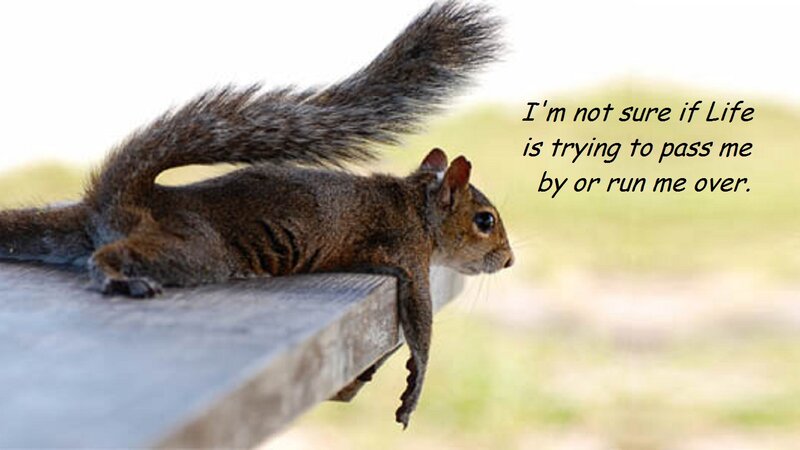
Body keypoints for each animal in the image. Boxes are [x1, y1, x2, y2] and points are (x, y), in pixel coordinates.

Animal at [0, 1, 512, 428]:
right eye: (485, 221)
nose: (508, 261)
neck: (417, 206)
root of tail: (123, 197)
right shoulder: (408, 253)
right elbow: (421, 325)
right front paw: (413, 388)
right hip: (197, 251)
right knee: (113, 254)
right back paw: (115, 276)